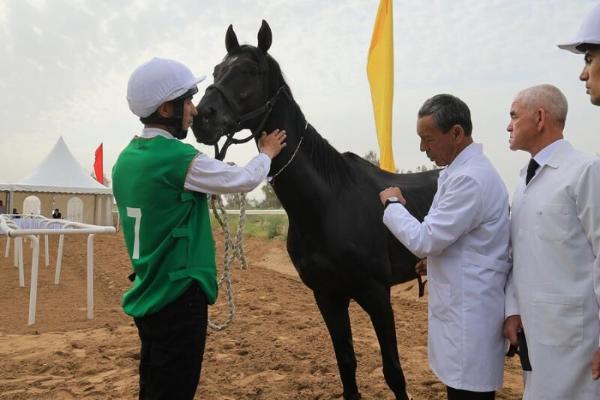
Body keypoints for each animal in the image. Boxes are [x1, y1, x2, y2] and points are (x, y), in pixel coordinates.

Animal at [195, 21, 438, 400]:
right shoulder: (327, 296)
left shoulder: (376, 294)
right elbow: (346, 364)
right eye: (218, 69)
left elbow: (394, 372)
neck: (329, 203)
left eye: (249, 70)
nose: (202, 118)